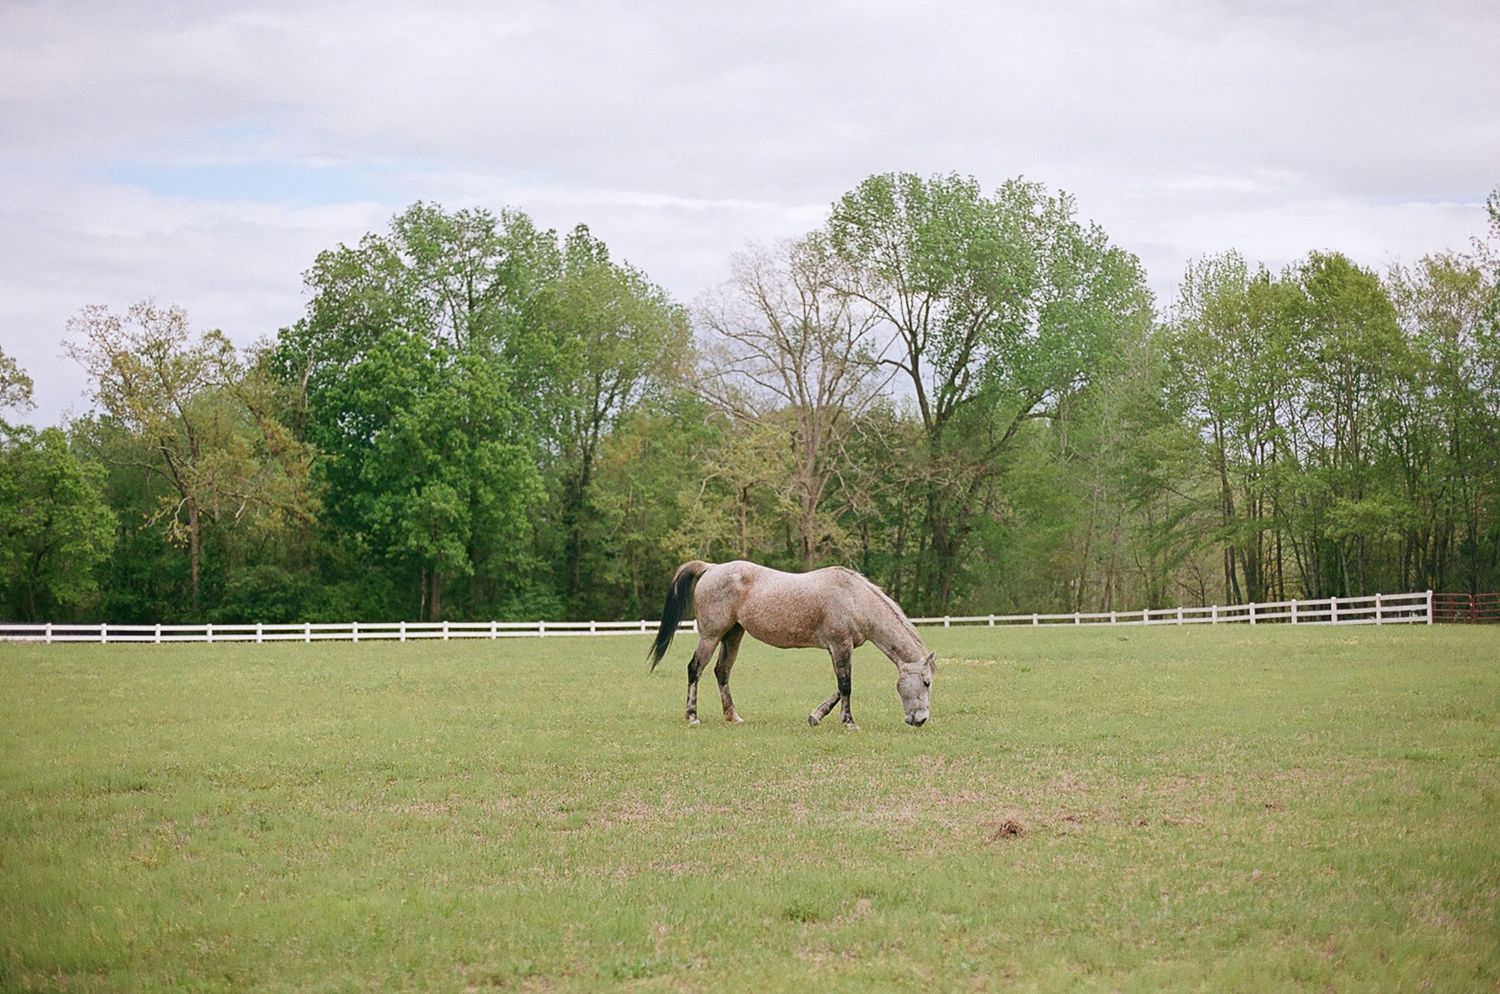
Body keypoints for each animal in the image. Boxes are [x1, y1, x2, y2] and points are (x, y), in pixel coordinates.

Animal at [647, 560, 935, 729]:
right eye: (926, 682)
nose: (920, 720)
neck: (853, 597)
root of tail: (711, 567)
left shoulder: (841, 649)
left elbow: (839, 687)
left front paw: (816, 716)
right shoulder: (840, 645)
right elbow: (846, 686)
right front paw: (848, 723)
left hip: (733, 634)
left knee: (722, 672)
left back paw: (733, 716)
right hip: (711, 635)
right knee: (695, 669)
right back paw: (692, 716)